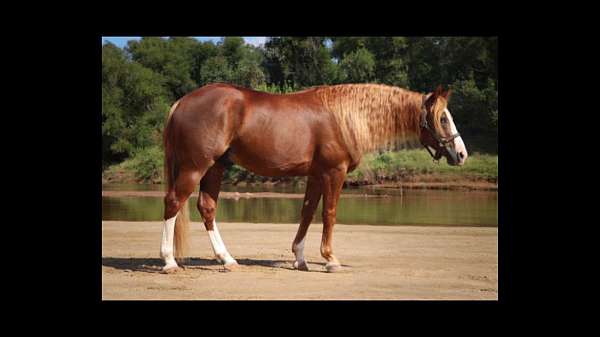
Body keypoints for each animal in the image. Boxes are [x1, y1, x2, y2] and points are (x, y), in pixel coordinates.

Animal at [159, 82, 468, 272]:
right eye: (442, 118)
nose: (462, 154)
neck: (344, 117)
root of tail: (181, 102)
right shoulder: (334, 172)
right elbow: (329, 213)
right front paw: (330, 259)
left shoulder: (316, 175)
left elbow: (307, 213)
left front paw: (300, 259)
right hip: (195, 166)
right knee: (173, 202)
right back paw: (169, 261)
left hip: (215, 167)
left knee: (207, 208)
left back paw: (227, 259)